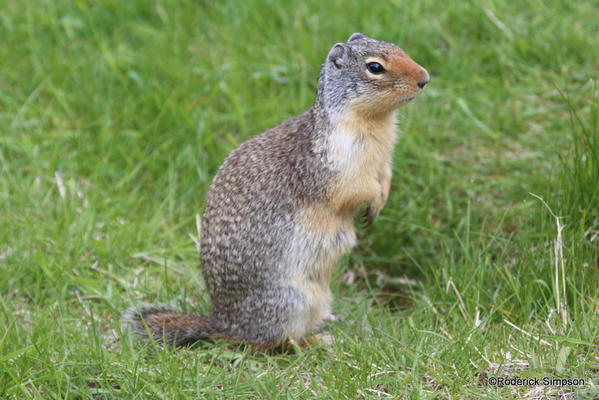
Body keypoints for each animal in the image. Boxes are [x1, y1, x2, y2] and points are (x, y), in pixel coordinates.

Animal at [124, 32, 428, 350]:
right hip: (291, 302)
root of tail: (225, 324)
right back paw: (317, 341)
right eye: (375, 67)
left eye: (399, 48)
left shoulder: (384, 161)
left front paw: (381, 202)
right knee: (276, 344)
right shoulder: (335, 167)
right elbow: (355, 189)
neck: (377, 123)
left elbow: (385, 177)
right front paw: (371, 202)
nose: (425, 78)